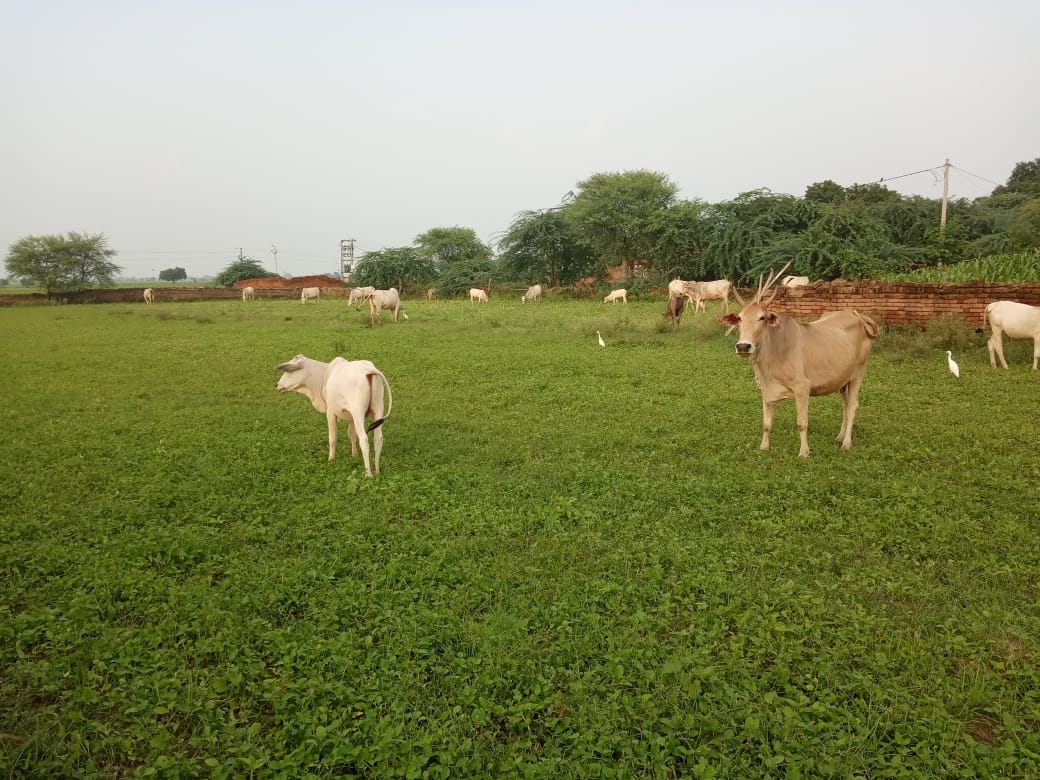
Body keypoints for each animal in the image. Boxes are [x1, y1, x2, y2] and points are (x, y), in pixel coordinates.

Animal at [720, 264, 879, 458]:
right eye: (740, 318)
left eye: (762, 317)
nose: (743, 346)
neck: (773, 353)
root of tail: (857, 315)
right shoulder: (766, 390)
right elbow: (766, 423)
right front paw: (764, 447)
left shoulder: (802, 387)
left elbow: (802, 423)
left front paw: (804, 452)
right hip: (843, 379)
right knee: (846, 404)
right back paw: (840, 437)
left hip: (857, 374)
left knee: (852, 406)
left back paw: (846, 443)